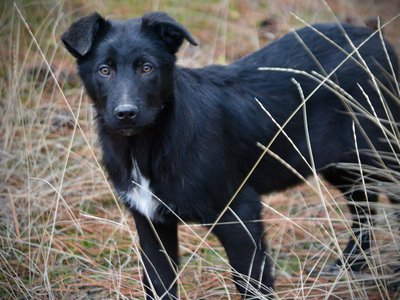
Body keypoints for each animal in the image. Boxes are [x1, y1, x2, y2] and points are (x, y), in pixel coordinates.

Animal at [61, 11, 398, 298]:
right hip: (342, 162)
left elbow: (253, 285)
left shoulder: (240, 213)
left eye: (147, 68)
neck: (147, 147)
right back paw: (352, 264)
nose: (126, 113)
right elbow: (159, 283)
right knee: (364, 204)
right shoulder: (151, 223)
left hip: (380, 149)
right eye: (104, 70)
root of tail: (378, 40)